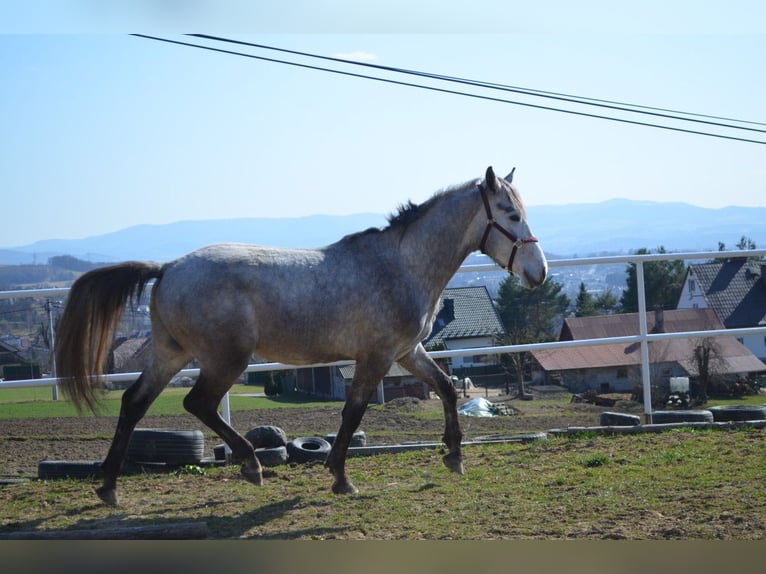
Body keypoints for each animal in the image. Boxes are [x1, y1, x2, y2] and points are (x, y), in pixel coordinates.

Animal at [55, 166, 547, 506]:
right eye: (511, 214)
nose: (538, 273)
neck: (403, 265)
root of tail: (169, 267)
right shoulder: (377, 356)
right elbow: (353, 411)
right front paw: (340, 477)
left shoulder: (408, 352)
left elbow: (445, 386)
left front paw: (454, 456)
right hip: (225, 359)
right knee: (198, 403)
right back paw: (251, 464)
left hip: (171, 354)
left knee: (134, 403)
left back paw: (109, 487)